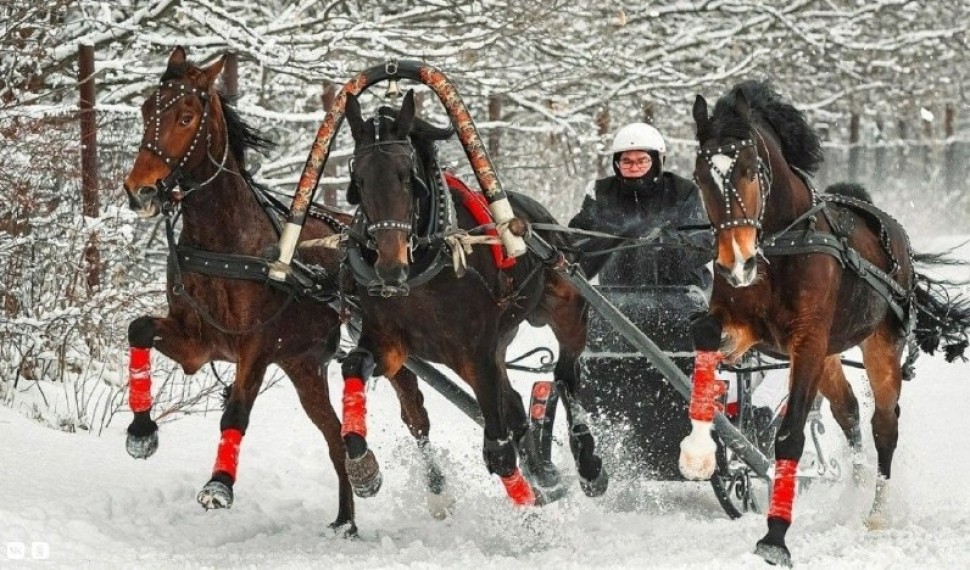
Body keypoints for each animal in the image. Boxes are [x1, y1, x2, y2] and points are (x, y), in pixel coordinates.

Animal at [118, 46, 446, 532]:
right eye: (145, 110)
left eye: (186, 115)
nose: (139, 191)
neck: (227, 245)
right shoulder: (197, 342)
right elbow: (138, 329)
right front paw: (142, 431)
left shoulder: (256, 347)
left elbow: (237, 410)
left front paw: (219, 484)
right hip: (304, 367)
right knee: (335, 436)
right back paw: (346, 518)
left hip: (379, 342)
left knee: (414, 410)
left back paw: (436, 488)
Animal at [332, 90, 604, 506]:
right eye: (358, 181)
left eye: (407, 177)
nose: (389, 267)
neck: (425, 269)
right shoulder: (390, 343)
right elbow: (354, 365)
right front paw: (363, 467)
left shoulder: (476, 352)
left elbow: (499, 449)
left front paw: (530, 506)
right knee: (518, 406)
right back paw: (544, 471)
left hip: (566, 308)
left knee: (565, 376)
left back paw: (586, 464)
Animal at [680, 80, 968, 564]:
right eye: (701, 176)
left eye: (748, 169)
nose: (737, 261)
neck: (781, 247)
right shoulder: (745, 331)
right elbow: (704, 335)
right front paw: (698, 450)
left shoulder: (808, 342)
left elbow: (791, 435)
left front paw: (775, 536)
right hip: (830, 355)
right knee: (848, 411)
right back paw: (854, 487)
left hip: (879, 346)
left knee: (883, 424)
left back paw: (875, 513)